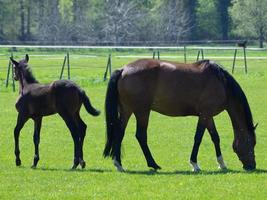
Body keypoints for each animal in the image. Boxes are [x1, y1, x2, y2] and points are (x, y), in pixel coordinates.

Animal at [103, 58, 258, 172]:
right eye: (251, 143)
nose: (252, 166)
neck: (222, 83)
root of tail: (123, 69)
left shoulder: (208, 116)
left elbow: (215, 137)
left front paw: (222, 163)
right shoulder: (204, 115)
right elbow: (198, 138)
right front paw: (194, 164)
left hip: (127, 111)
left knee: (119, 133)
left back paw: (119, 164)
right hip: (142, 112)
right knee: (140, 136)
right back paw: (153, 164)